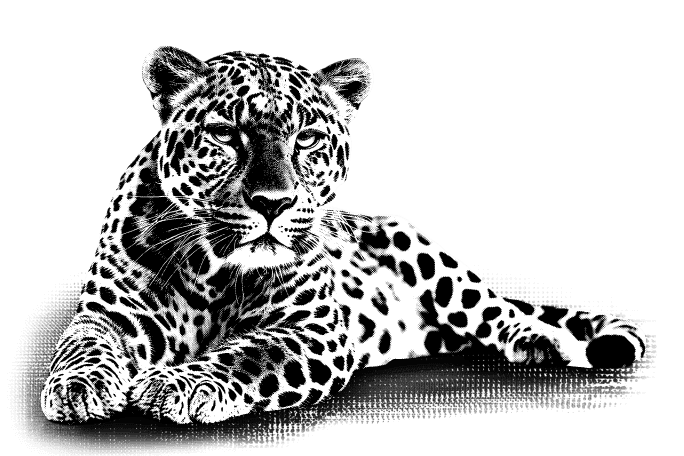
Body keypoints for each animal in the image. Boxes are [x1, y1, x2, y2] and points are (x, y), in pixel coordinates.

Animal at [40, 45, 647, 424]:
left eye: (307, 138)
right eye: (225, 135)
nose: (273, 203)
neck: (213, 269)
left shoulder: (314, 330)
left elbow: (244, 357)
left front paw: (175, 385)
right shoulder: (110, 313)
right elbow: (83, 345)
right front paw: (77, 388)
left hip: (421, 249)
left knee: (495, 310)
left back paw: (544, 343)